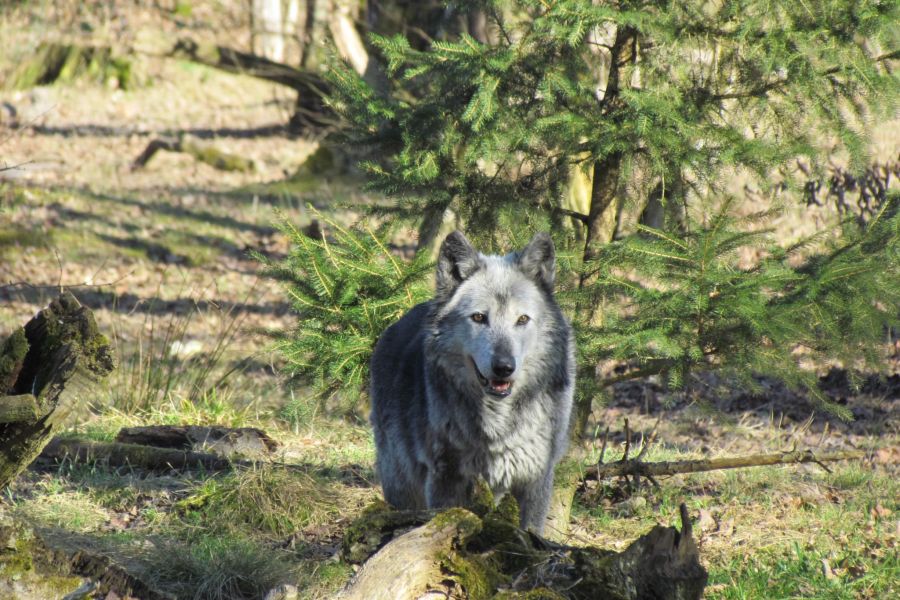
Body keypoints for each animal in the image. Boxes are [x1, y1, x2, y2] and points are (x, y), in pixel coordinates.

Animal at [368, 231, 572, 536]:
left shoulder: (535, 479)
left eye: (522, 319)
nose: (504, 367)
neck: (499, 422)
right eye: (479, 317)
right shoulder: (447, 479)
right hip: (401, 482)